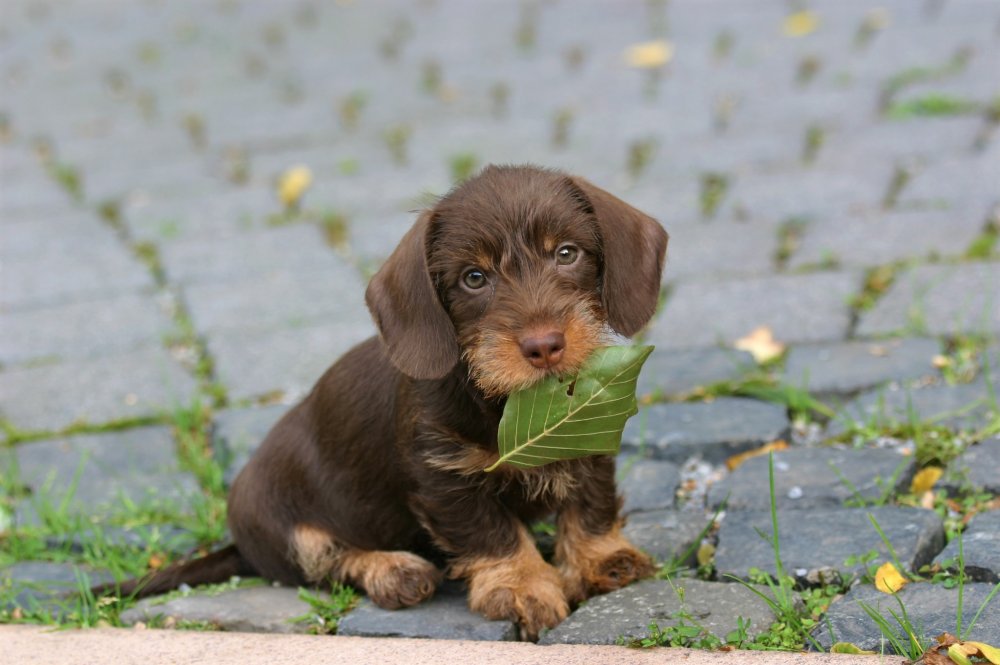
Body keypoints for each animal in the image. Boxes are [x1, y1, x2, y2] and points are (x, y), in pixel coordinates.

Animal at [113, 165, 668, 640]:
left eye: (567, 253)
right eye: (474, 278)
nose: (544, 345)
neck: (508, 403)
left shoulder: (590, 439)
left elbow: (591, 504)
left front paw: (600, 559)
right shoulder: (445, 479)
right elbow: (493, 534)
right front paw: (522, 586)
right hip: (278, 522)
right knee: (326, 562)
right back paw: (393, 570)